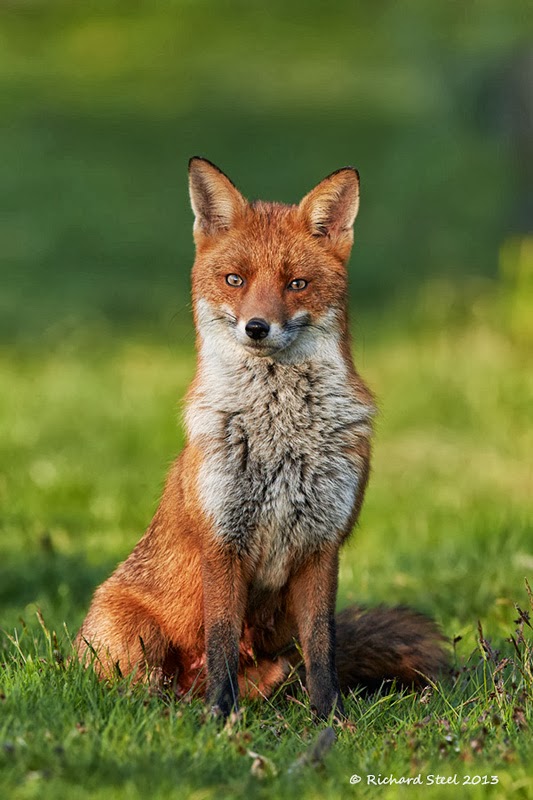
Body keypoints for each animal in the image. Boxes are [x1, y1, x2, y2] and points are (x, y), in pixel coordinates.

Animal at [75, 157, 448, 719]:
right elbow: (222, 642)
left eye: (296, 283)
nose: (257, 327)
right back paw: (178, 712)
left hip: (279, 663)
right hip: (132, 643)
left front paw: (330, 719)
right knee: (141, 689)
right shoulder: (222, 541)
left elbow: (323, 646)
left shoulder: (322, 546)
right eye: (235, 280)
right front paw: (220, 721)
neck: (280, 437)